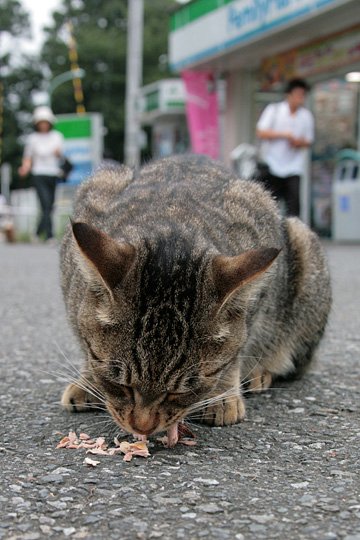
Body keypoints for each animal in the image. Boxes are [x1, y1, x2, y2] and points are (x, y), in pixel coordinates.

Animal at [59, 156, 332, 448]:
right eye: (121, 384)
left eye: (179, 392)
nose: (142, 427)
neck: (174, 216)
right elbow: (85, 345)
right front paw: (88, 380)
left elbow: (235, 352)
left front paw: (224, 394)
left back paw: (260, 372)